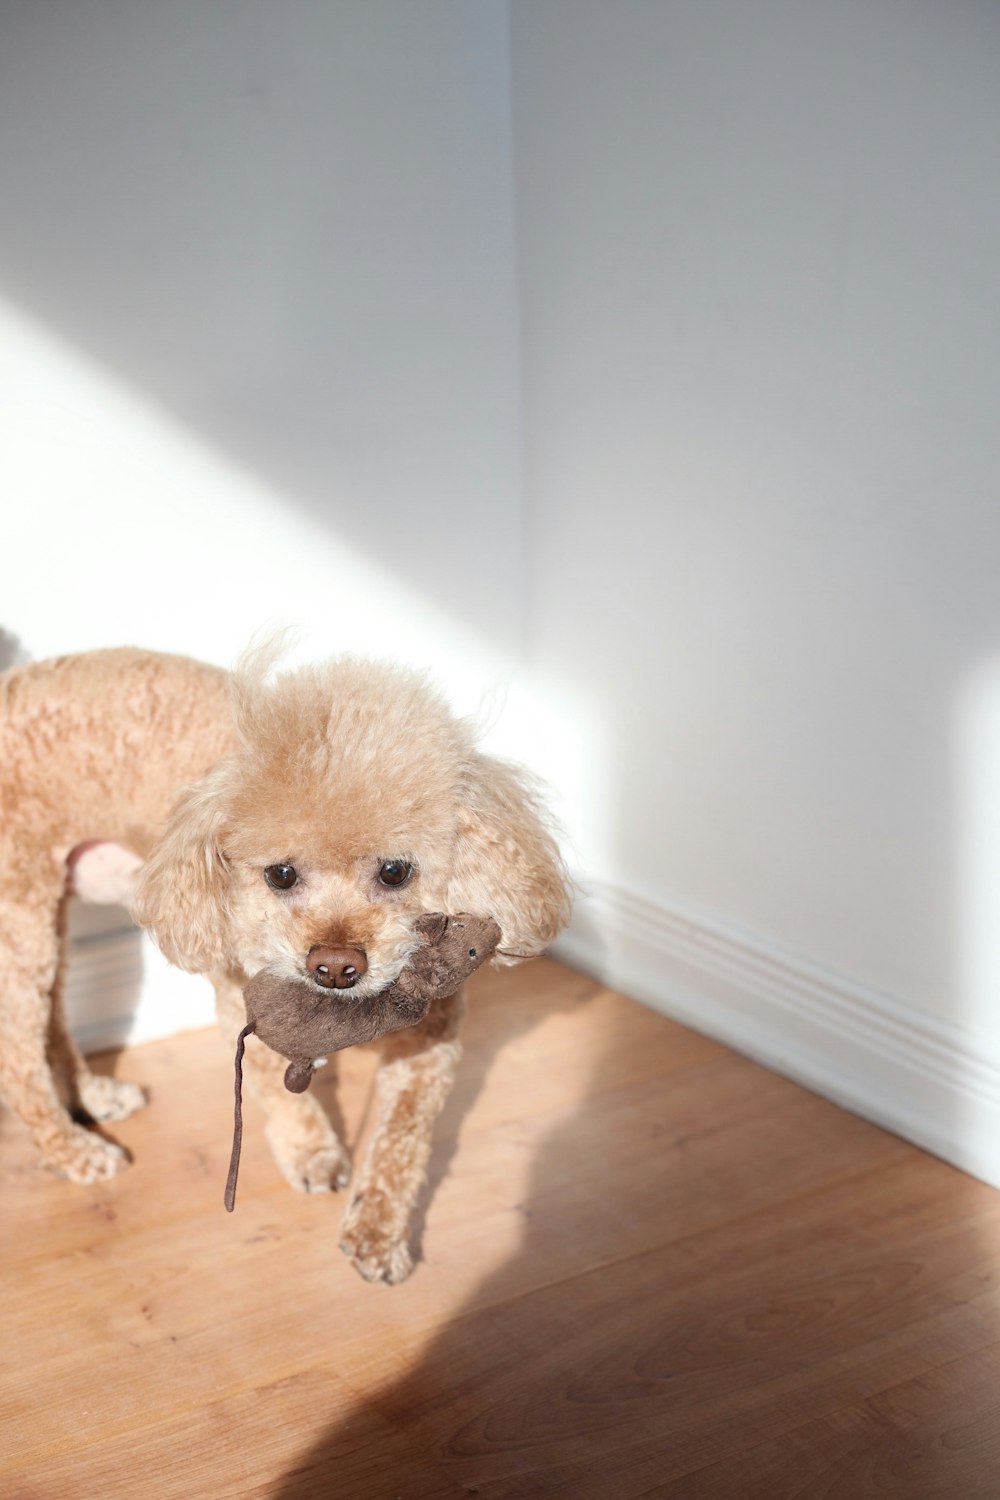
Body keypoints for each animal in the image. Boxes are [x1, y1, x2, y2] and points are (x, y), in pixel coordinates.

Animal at [0, 645, 566, 1278]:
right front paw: (312, 1154)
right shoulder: (239, 997)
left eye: (396, 870)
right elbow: (274, 1083)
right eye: (281, 874)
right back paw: (76, 1152)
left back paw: (95, 1097)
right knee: (16, 1058)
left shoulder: (430, 1039)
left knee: (52, 1017)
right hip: (21, 915)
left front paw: (379, 1233)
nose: (335, 966)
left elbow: (402, 1138)